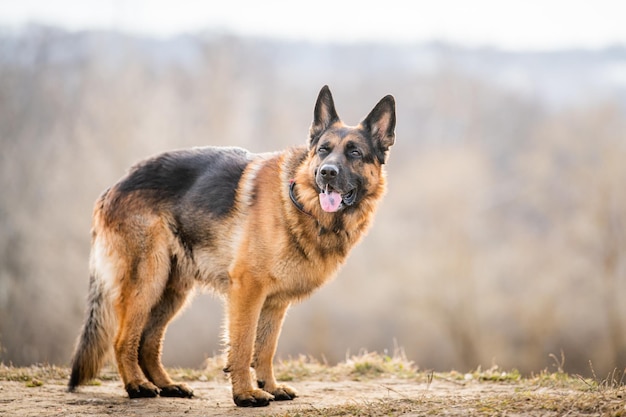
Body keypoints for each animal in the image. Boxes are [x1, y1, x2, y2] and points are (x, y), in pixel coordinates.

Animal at [67, 85, 390, 406]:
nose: (327, 173)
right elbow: (244, 346)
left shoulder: (275, 303)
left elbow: (266, 348)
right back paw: (137, 386)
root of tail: (116, 185)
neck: (300, 201)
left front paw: (270, 386)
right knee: (123, 340)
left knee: (148, 342)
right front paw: (245, 393)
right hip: (148, 281)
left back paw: (167, 384)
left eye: (355, 153)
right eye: (323, 150)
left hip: (172, 291)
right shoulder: (247, 290)